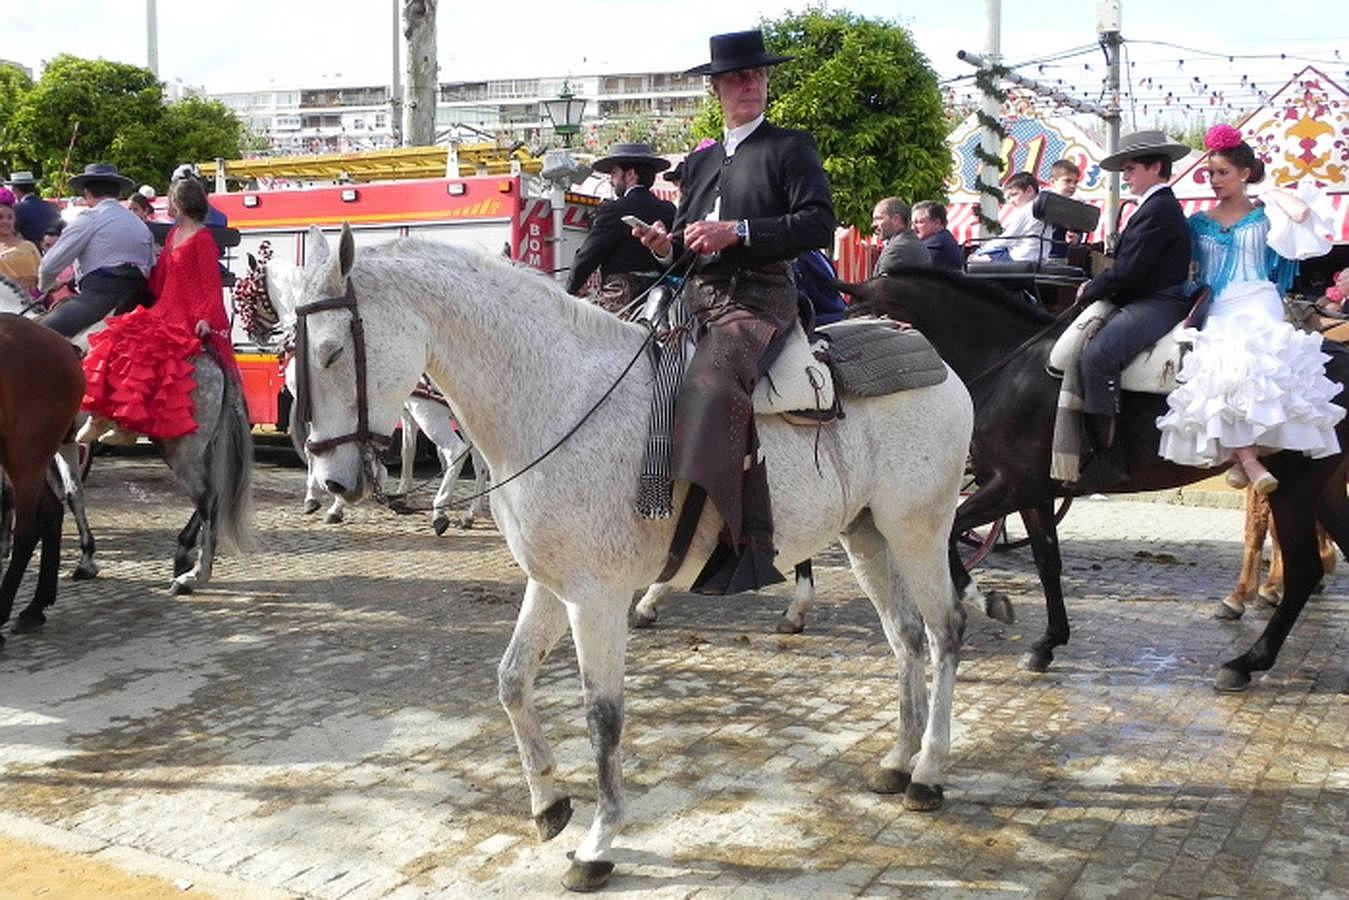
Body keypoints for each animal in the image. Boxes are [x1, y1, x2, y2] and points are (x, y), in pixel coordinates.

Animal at [276, 226, 971, 895]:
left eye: (332, 353)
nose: (332, 482)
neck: (556, 401)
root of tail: (937, 362)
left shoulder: (596, 597)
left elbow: (602, 715)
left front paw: (598, 843)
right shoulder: (551, 585)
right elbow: (511, 681)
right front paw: (549, 802)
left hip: (919, 530)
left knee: (943, 633)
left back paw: (929, 771)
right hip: (867, 536)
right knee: (906, 637)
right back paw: (897, 760)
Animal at [847, 267, 1343, 690]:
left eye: (854, 314)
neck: (1008, 366)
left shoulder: (1013, 484)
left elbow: (953, 534)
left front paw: (985, 600)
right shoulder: (1035, 493)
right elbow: (1047, 562)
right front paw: (1046, 643)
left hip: (1295, 489)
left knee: (1302, 569)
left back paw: (1246, 662)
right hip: (1322, 490)